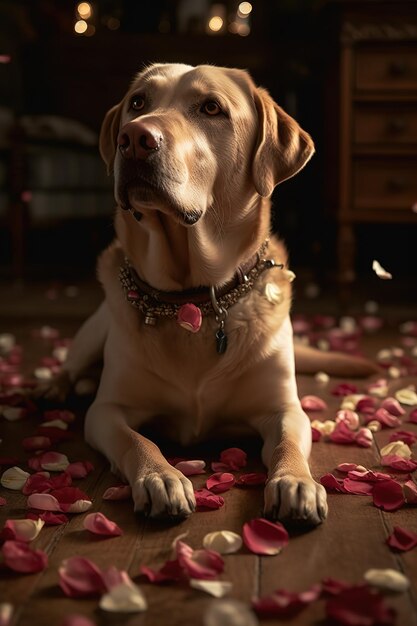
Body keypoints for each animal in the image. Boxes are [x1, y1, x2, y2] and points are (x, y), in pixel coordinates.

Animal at [39, 62, 376, 520]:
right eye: (137, 102)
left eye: (211, 108)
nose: (134, 138)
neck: (194, 299)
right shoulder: (107, 411)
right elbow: (137, 440)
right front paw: (161, 477)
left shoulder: (284, 409)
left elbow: (288, 443)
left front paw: (295, 481)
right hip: (95, 330)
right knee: (72, 364)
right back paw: (55, 387)